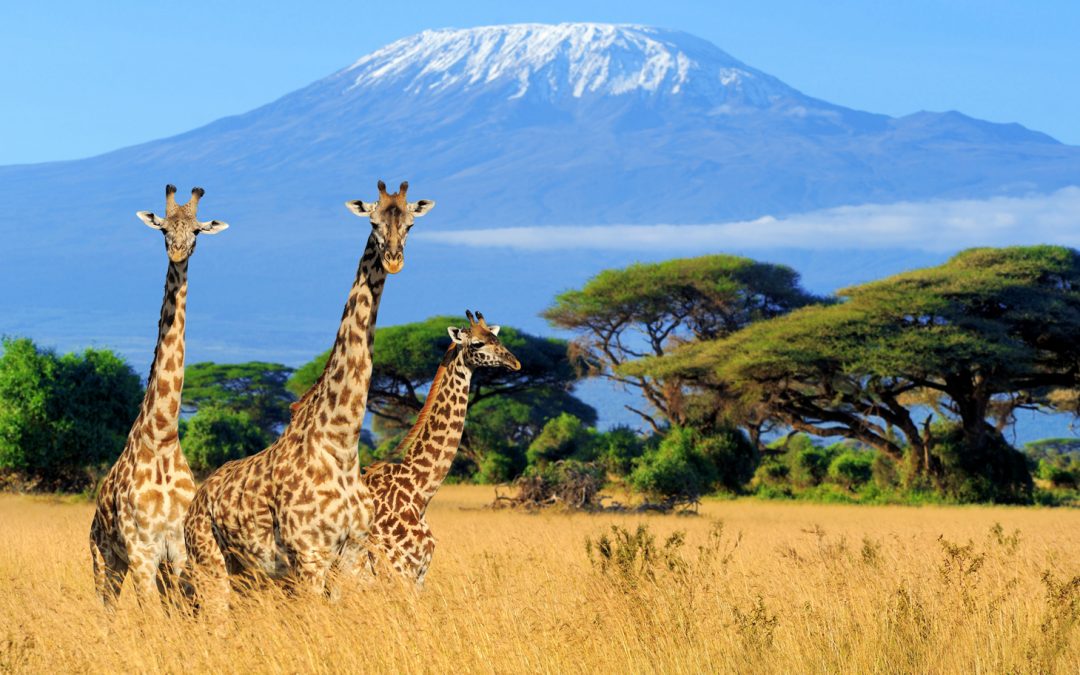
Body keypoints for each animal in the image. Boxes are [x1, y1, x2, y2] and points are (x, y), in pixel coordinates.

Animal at [89, 185, 229, 609]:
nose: (178, 252)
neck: (163, 436)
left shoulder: (178, 551)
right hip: (104, 558)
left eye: (197, 231)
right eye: (164, 228)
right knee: (106, 608)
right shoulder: (141, 551)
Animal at [183, 181, 434, 608]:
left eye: (411, 224)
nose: (394, 260)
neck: (341, 443)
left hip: (247, 574)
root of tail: (195, 503)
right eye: (373, 221)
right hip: (209, 562)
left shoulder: (352, 555)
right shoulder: (310, 556)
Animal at [361, 310, 521, 587]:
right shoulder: (398, 571)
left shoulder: (418, 574)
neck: (419, 491)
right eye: (477, 343)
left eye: (496, 338)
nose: (515, 363)